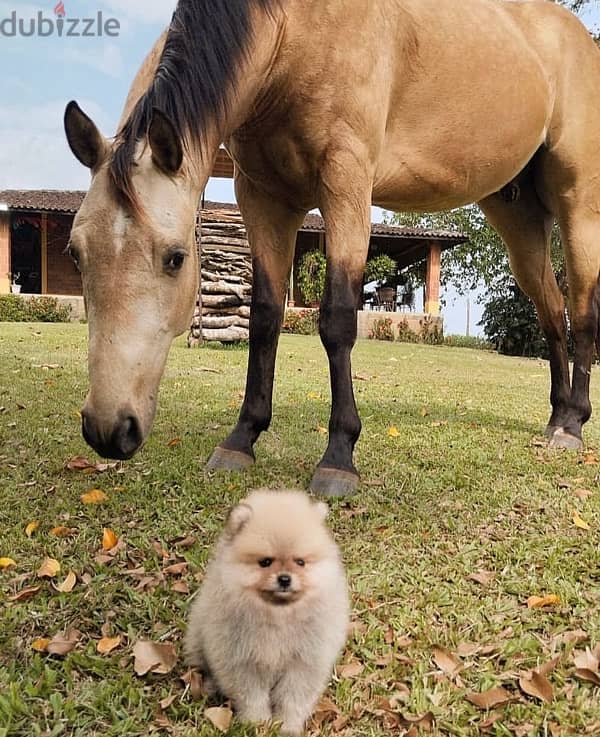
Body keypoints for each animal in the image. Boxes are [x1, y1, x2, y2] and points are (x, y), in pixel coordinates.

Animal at [63, 0, 600, 498]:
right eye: (76, 254)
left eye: (175, 257)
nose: (109, 429)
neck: (293, 32)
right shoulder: (263, 197)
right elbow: (264, 318)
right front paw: (242, 438)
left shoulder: (345, 182)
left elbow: (338, 319)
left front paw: (339, 455)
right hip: (518, 215)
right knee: (551, 312)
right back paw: (557, 417)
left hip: (577, 205)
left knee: (580, 311)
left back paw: (573, 426)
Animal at [185, 488, 350, 736]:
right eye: (265, 562)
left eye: (300, 562)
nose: (284, 578)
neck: (278, 616)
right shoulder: (241, 660)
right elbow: (252, 697)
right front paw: (258, 724)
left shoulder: (303, 662)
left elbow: (292, 699)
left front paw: (288, 726)